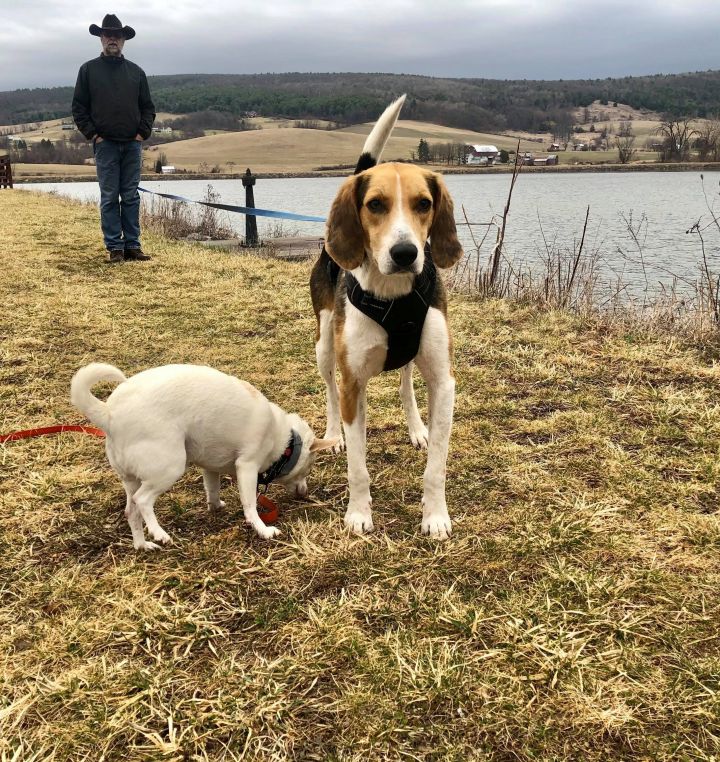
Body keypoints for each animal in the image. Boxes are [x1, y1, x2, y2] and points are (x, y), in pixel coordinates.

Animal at [71, 363, 336, 550]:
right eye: (309, 469)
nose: (304, 493)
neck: (285, 440)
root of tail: (109, 415)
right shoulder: (247, 466)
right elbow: (250, 504)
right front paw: (262, 529)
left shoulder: (210, 467)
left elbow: (212, 489)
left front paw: (216, 506)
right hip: (170, 467)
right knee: (142, 500)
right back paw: (160, 534)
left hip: (130, 478)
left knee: (131, 510)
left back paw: (143, 544)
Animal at [310, 95, 463, 539]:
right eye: (375, 204)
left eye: (424, 204)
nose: (405, 253)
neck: (392, 294)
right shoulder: (353, 383)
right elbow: (358, 467)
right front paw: (358, 514)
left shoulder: (444, 382)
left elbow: (437, 466)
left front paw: (435, 516)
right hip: (324, 346)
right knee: (328, 390)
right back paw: (332, 435)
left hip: (414, 355)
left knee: (406, 383)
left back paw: (416, 428)